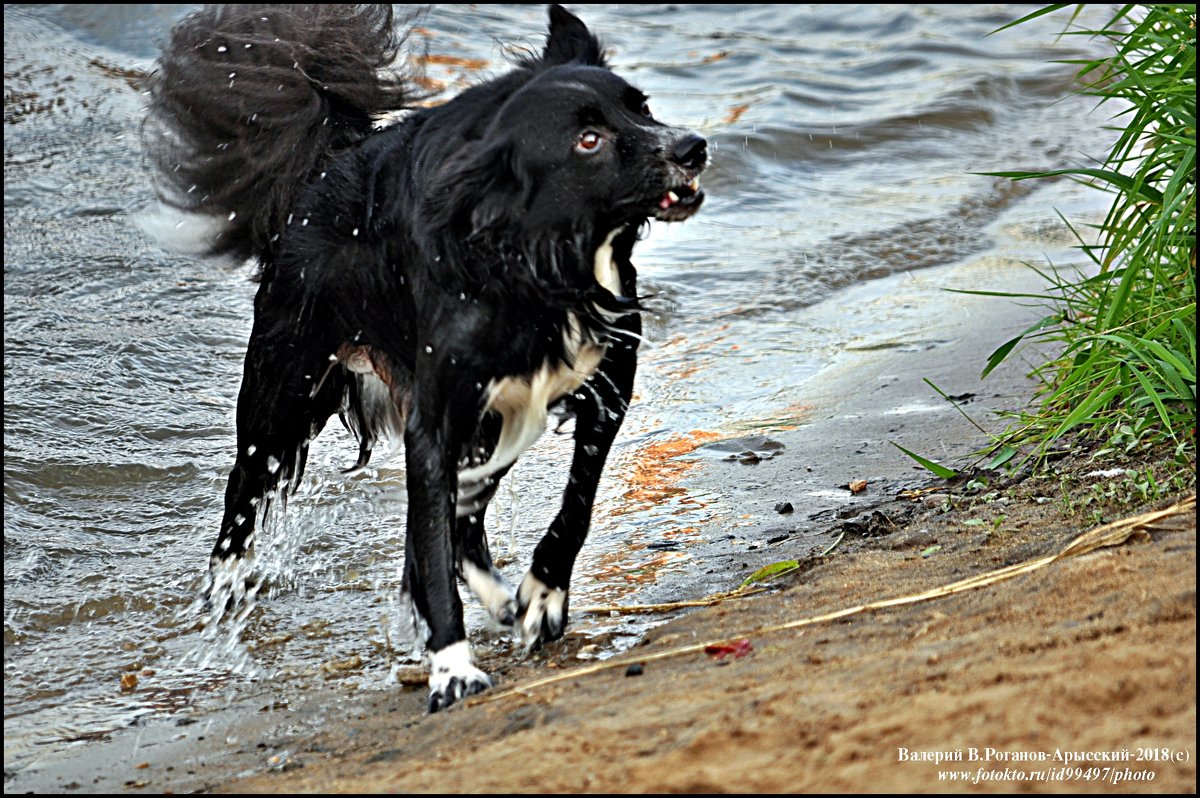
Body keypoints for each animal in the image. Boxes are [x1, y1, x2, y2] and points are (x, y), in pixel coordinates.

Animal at [147, 1, 700, 710]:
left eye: (642, 107)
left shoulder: (603, 394)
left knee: (464, 515)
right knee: (241, 513)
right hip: (281, 399)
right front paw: (452, 665)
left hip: (481, 421)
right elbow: (434, 546)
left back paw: (500, 596)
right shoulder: (434, 424)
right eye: (588, 141)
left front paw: (542, 595)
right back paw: (219, 612)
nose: (692, 147)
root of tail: (327, 163)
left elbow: (572, 508)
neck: (537, 264)